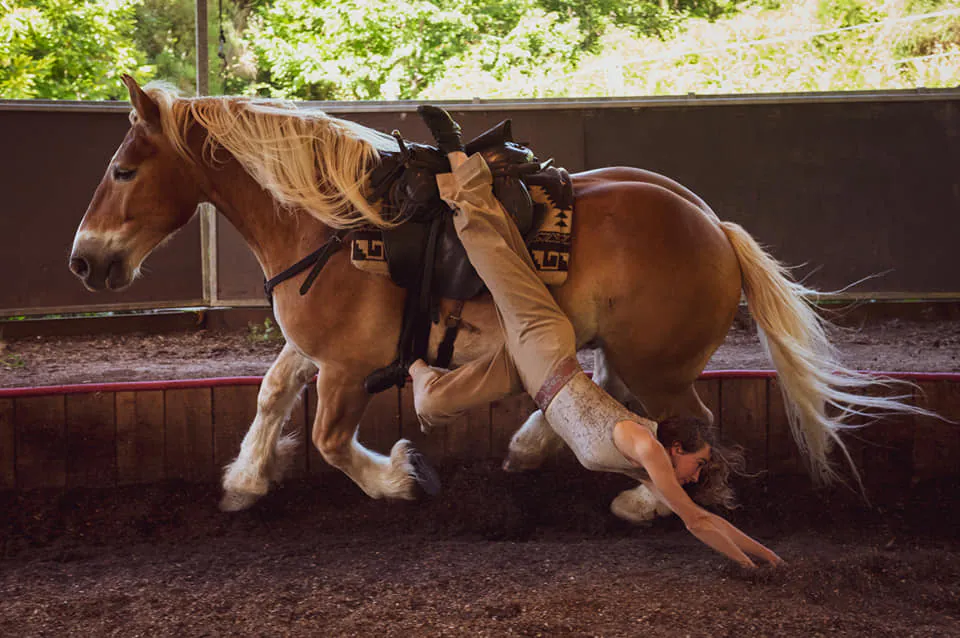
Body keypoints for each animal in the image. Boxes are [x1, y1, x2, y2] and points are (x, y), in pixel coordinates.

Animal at [73, 76, 916, 520]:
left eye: (121, 169)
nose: (84, 261)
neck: (332, 222)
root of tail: (715, 226)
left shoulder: (345, 367)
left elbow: (328, 439)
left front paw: (398, 477)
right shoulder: (313, 348)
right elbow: (273, 393)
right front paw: (246, 479)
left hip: (662, 366)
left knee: (688, 427)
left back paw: (648, 499)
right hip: (630, 352)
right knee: (614, 395)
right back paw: (539, 446)